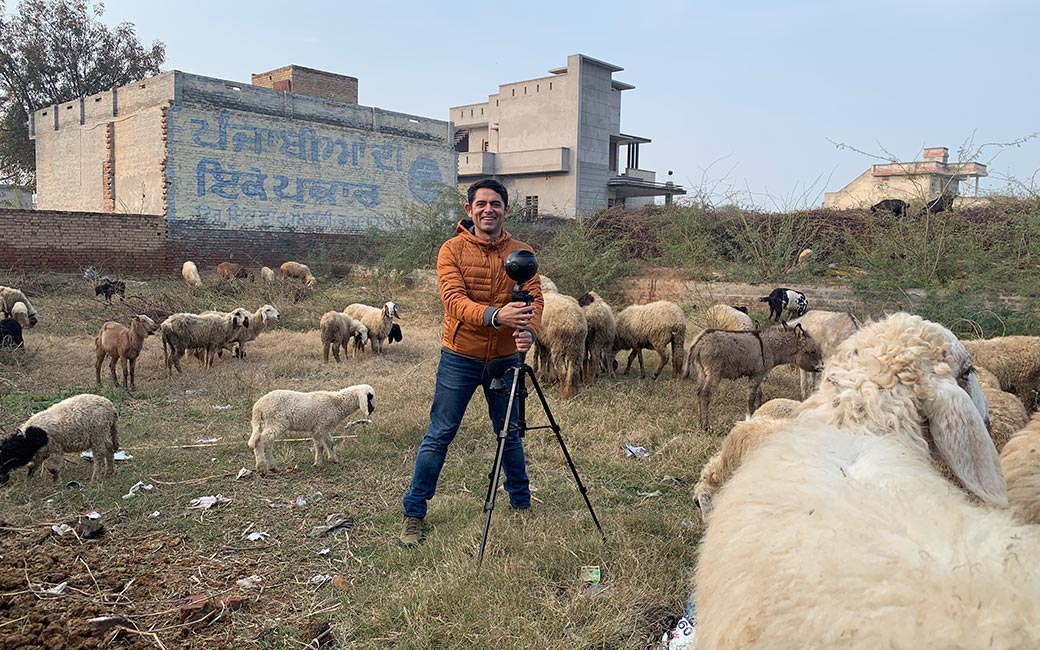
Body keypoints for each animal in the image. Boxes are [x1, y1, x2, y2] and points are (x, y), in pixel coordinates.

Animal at [248, 382, 376, 474]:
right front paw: (318, 463)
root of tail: (258, 408)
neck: (336, 402)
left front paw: (333, 459)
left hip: (264, 424)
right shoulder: (318, 427)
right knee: (260, 441)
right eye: (370, 397)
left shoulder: (324, 428)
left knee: (266, 443)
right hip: (276, 422)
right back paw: (262, 468)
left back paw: (272, 467)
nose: (372, 410)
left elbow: (330, 443)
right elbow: (320, 446)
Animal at [686, 320, 823, 430]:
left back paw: (699, 421)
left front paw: (758, 412)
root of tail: (700, 341)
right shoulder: (756, 375)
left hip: (701, 372)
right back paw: (705, 426)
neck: (770, 347)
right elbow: (751, 398)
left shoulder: (759, 375)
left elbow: (758, 395)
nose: (821, 367)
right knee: (705, 394)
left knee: (698, 392)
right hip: (714, 372)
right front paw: (749, 417)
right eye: (812, 352)